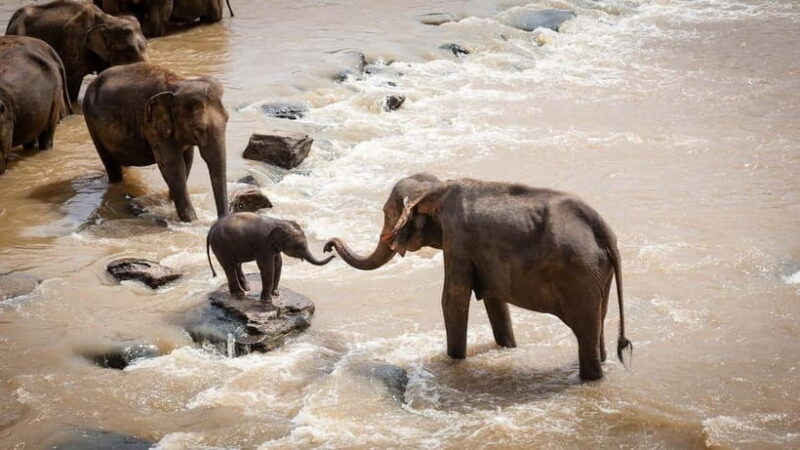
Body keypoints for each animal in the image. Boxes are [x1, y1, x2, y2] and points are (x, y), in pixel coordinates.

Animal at [82, 62, 228, 221]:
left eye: (227, 119)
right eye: (199, 128)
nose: (220, 219)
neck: (178, 83)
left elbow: (187, 161)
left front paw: (171, 202)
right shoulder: (152, 126)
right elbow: (173, 165)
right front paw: (191, 220)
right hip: (91, 122)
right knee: (110, 164)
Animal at [206, 212, 335, 300]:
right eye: (298, 246)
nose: (330, 250)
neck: (279, 222)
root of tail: (212, 228)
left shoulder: (274, 246)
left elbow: (278, 263)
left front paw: (275, 294)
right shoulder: (263, 243)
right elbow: (267, 267)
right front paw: (267, 300)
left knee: (236, 264)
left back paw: (247, 288)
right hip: (220, 245)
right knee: (229, 266)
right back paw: (239, 294)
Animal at [324, 173, 633, 380]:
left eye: (387, 213)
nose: (327, 246)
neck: (437, 188)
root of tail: (603, 230)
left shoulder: (457, 241)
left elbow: (452, 299)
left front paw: (453, 362)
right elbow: (495, 302)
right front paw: (508, 347)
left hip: (580, 275)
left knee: (585, 330)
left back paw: (589, 378)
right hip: (597, 275)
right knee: (597, 324)